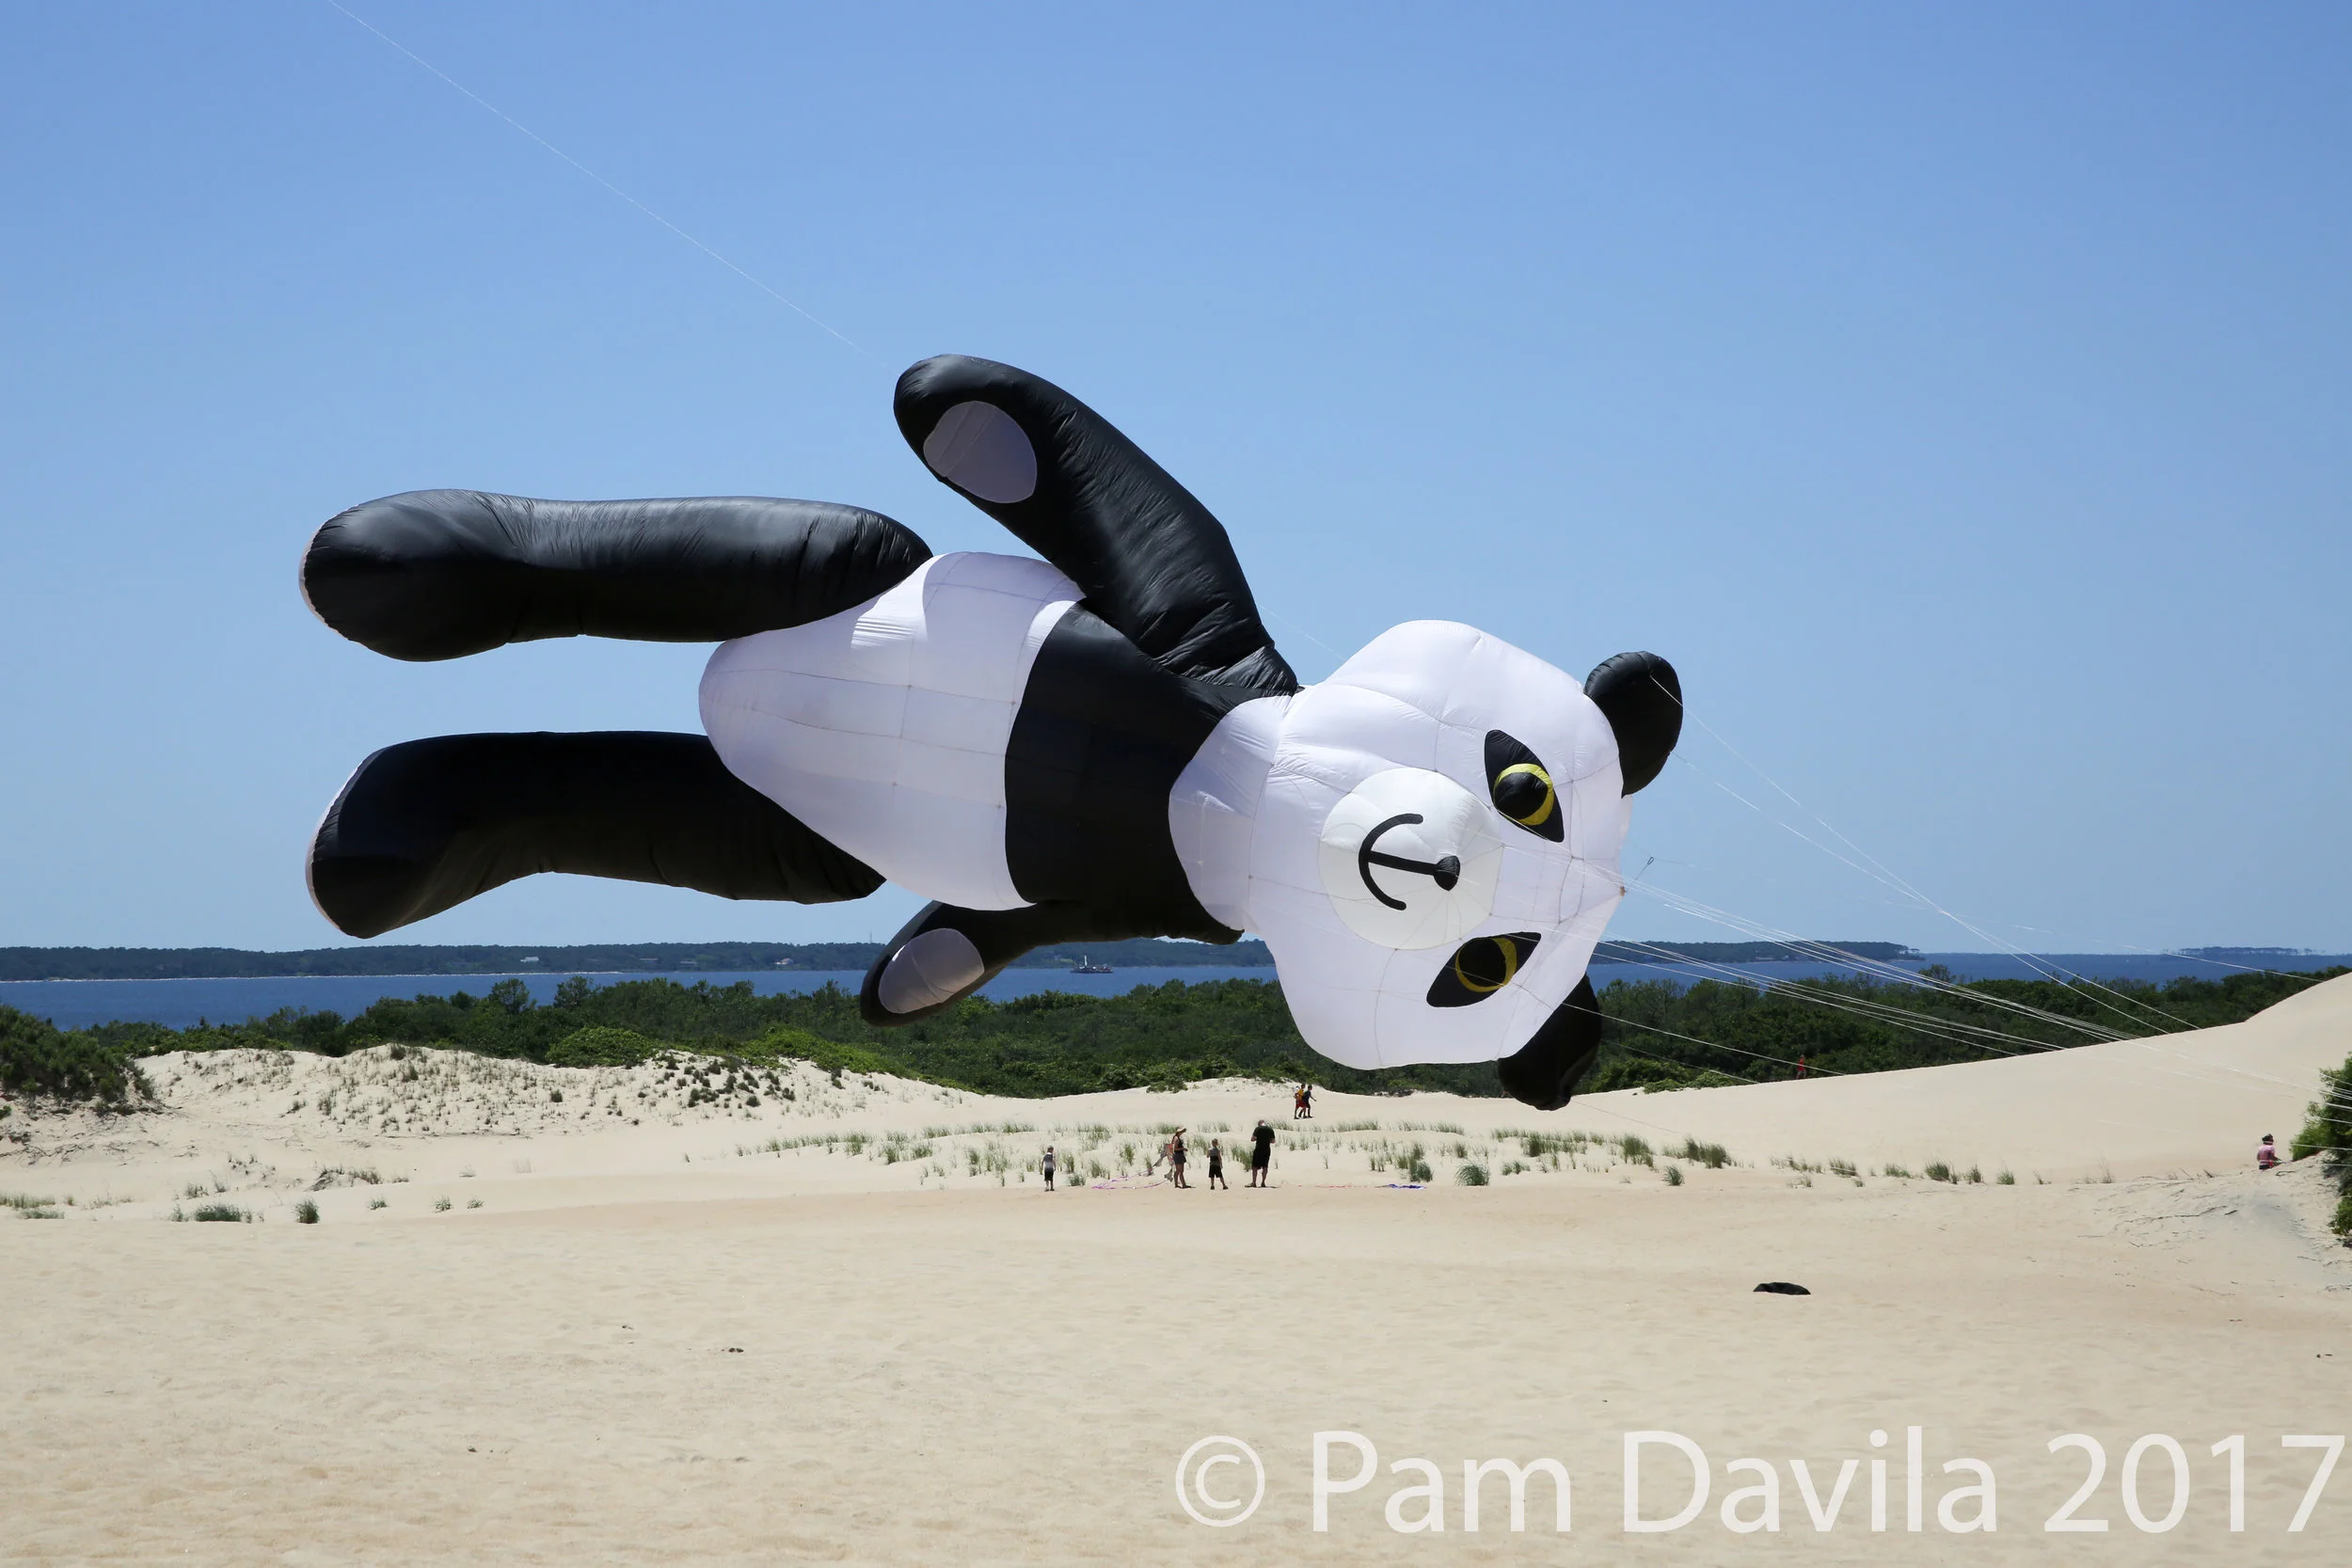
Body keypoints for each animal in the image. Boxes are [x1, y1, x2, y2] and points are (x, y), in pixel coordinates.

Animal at [301, 355, 1681, 1109]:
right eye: (1523, 782)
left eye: (1484, 968)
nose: (1441, 862)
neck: (1225, 795)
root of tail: (726, 690)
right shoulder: (1196, 642)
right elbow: (1074, 463)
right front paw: (965, 401)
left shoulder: (1103, 901)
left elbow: (946, 946)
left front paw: (910, 975)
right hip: (849, 569)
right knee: (770, 547)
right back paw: (395, 559)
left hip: (791, 840)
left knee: (650, 794)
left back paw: (387, 833)